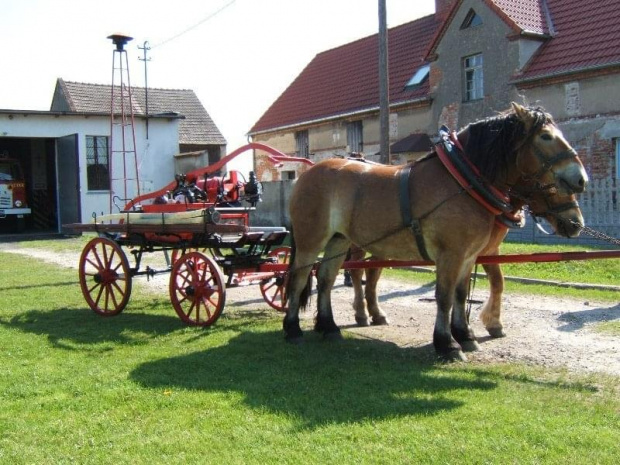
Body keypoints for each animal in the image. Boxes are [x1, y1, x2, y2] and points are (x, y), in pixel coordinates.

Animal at [284, 103, 588, 360]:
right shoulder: (450, 255)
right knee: (299, 279)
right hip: (311, 240)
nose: (581, 179)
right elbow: (443, 296)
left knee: (325, 279)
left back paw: (329, 327)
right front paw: (447, 344)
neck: (462, 182)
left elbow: (460, 295)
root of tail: (308, 173)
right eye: (546, 136)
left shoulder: (469, 256)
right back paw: (293, 329)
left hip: (339, 241)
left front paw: (465, 335)